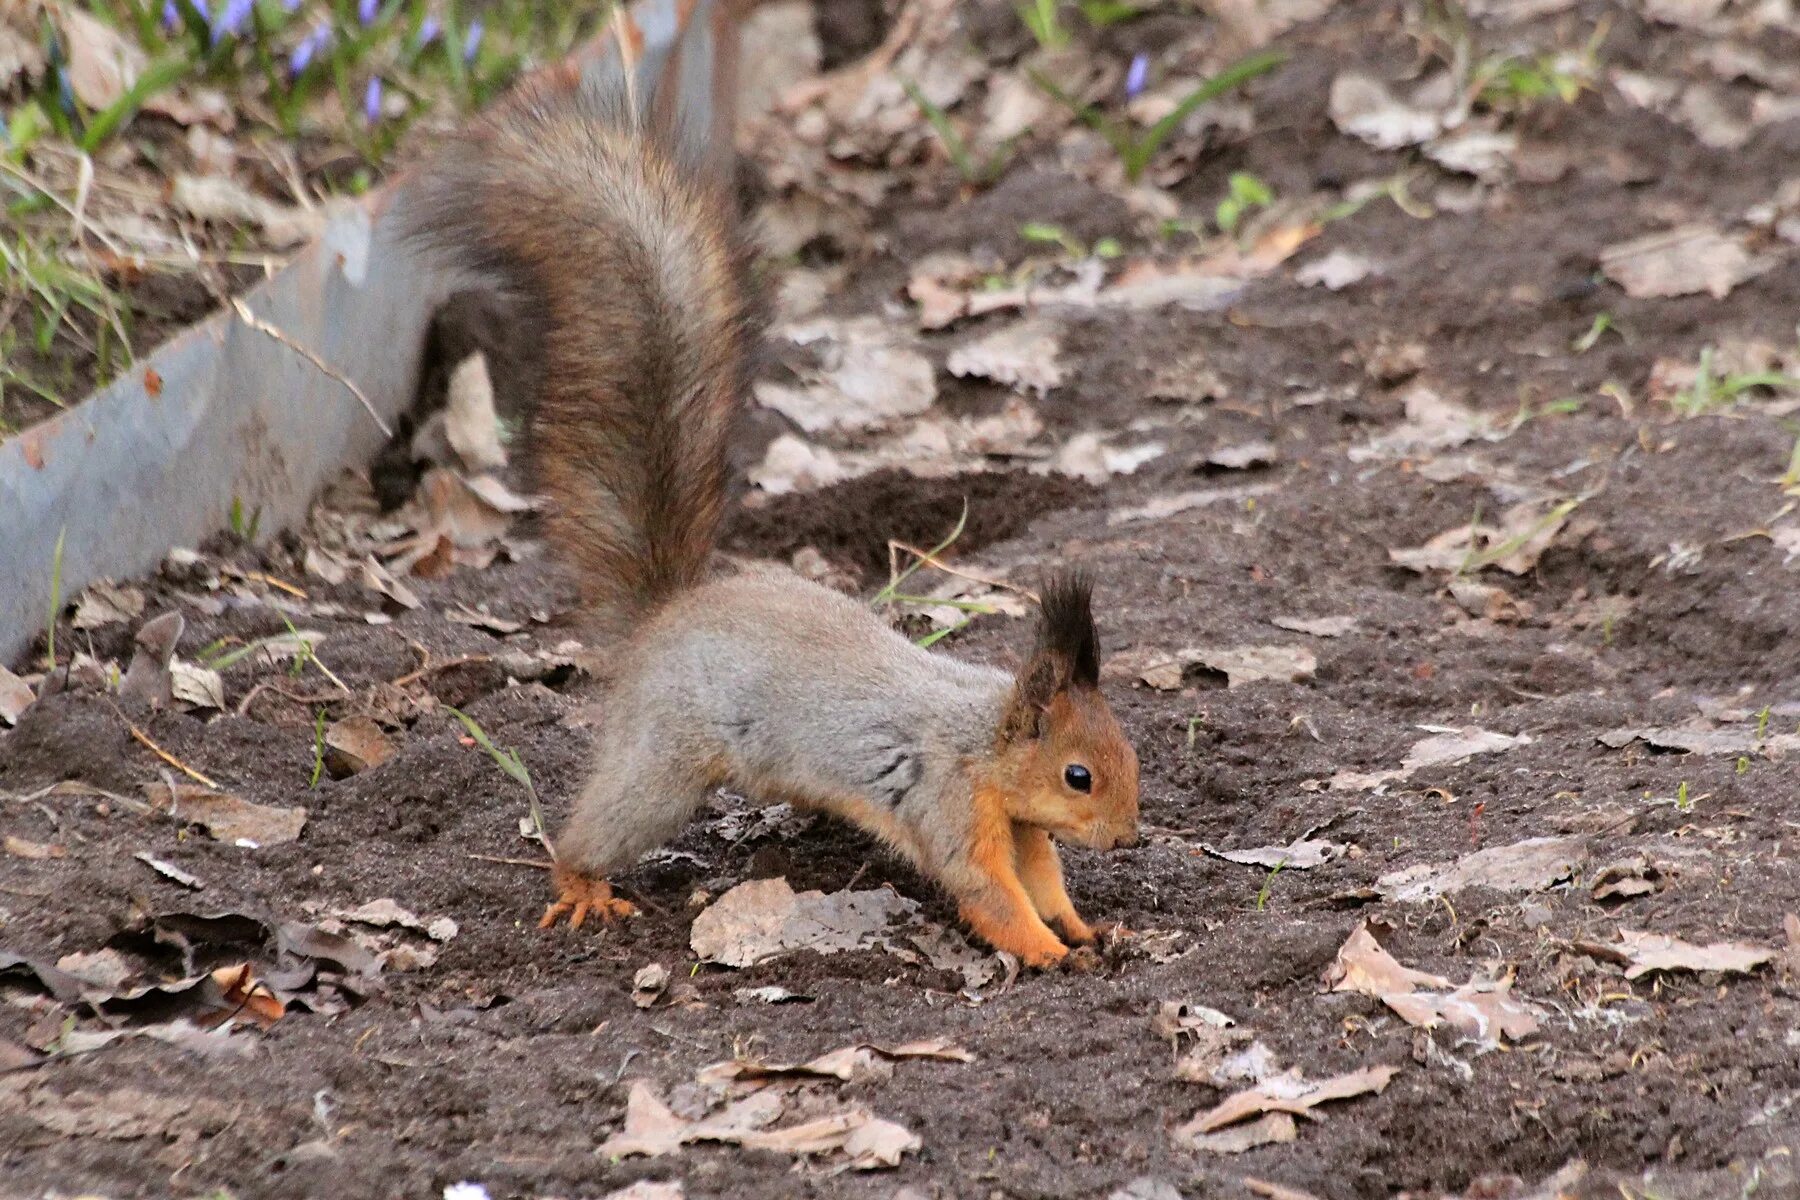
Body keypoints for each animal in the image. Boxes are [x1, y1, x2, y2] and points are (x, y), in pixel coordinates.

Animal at [406, 75, 1137, 971]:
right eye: (1078, 775)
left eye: (1126, 750)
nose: (1130, 838)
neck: (983, 743)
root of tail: (666, 614)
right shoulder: (950, 803)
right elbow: (990, 894)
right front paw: (1051, 953)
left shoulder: (1019, 825)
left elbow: (1042, 879)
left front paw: (1084, 927)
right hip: (663, 761)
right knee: (600, 827)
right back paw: (582, 885)